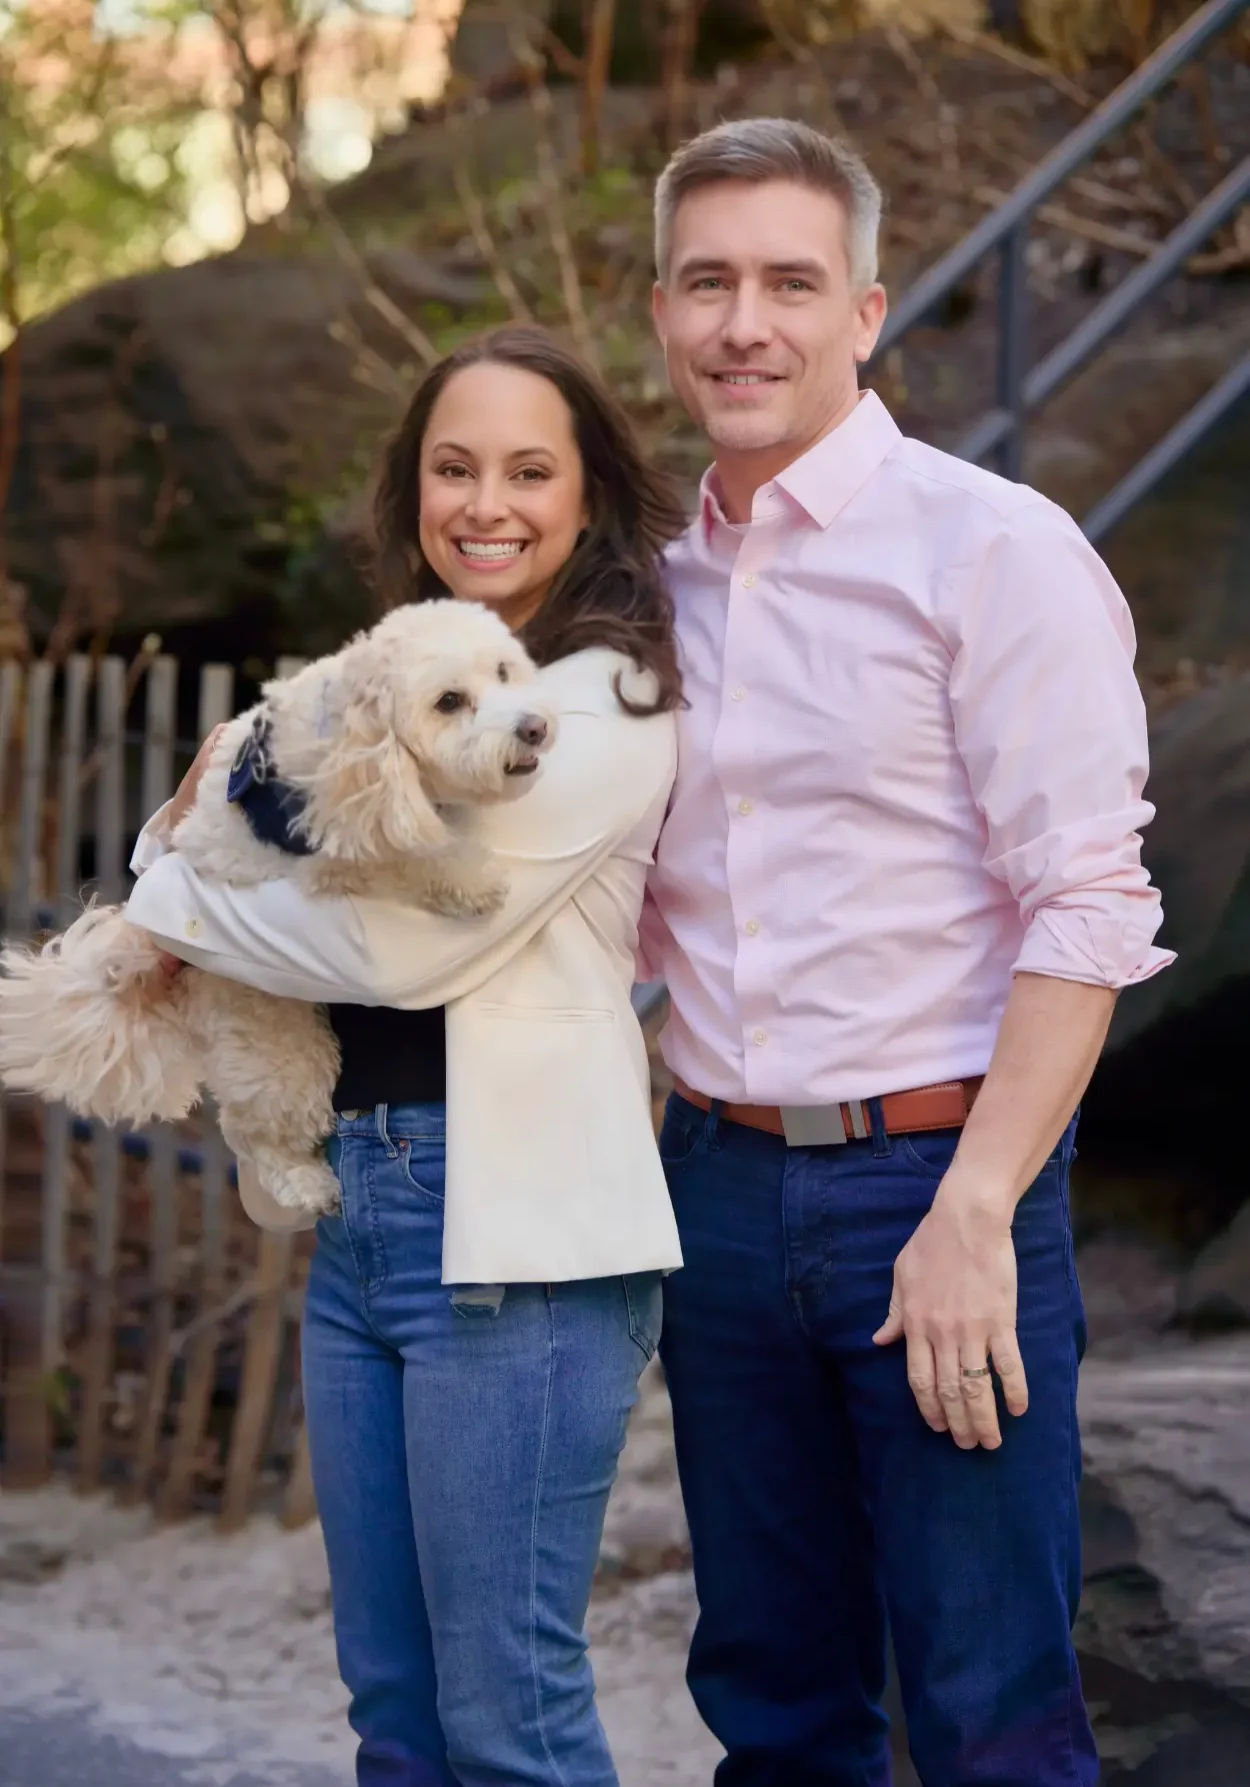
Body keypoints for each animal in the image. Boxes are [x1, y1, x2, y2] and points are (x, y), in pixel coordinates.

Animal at [0, 604, 550, 1215]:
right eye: (449, 701)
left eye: (503, 672)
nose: (534, 727)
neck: (357, 742)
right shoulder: (339, 855)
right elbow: (412, 858)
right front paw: (471, 879)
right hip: (276, 1039)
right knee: (254, 1128)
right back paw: (305, 1183)